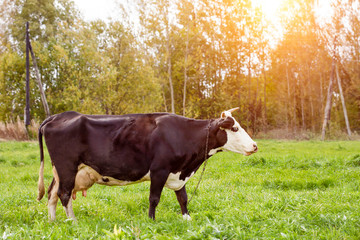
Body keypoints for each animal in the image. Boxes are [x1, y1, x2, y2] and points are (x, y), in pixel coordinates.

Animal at [36, 108, 258, 221]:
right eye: (235, 128)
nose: (255, 146)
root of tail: (60, 115)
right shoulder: (159, 170)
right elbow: (154, 198)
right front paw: (151, 220)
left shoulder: (178, 173)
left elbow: (183, 198)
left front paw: (186, 219)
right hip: (67, 167)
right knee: (64, 194)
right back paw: (72, 221)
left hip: (59, 171)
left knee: (52, 194)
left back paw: (54, 222)